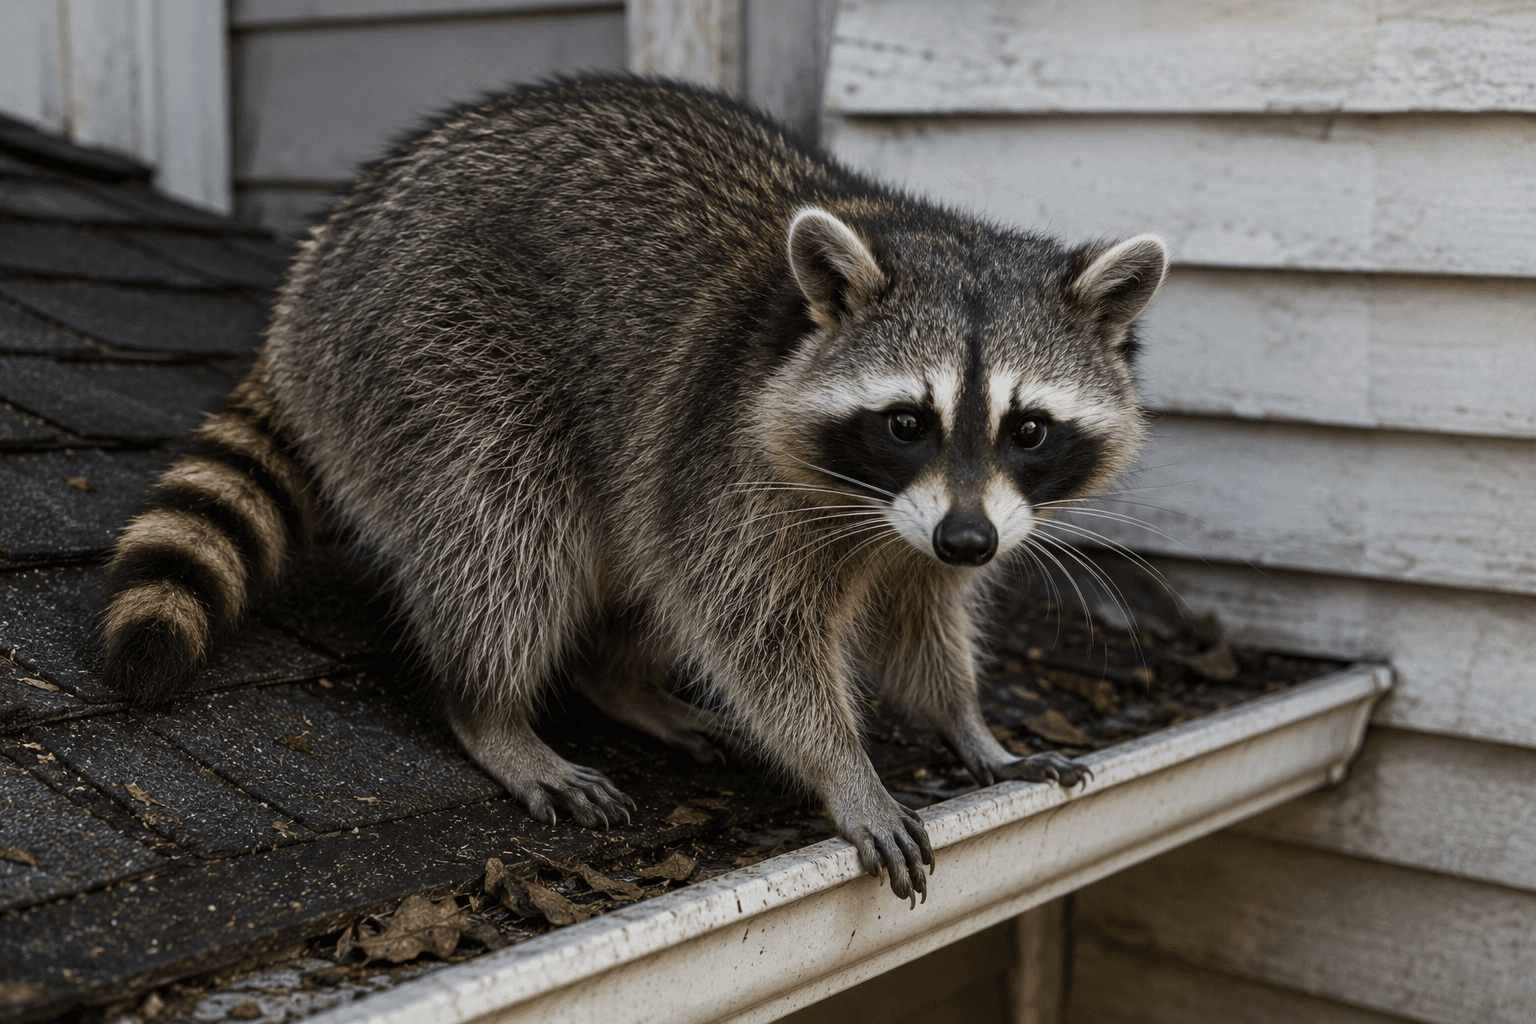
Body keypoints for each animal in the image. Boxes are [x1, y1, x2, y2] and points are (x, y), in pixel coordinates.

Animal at [100, 76, 1166, 902]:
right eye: (907, 422)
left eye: (1029, 429)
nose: (968, 544)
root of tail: (319, 256)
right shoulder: (730, 457)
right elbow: (748, 626)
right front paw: (844, 768)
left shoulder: (941, 520)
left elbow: (921, 617)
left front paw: (968, 725)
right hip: (428, 344)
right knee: (508, 524)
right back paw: (490, 709)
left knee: (632, 547)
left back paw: (624, 681)